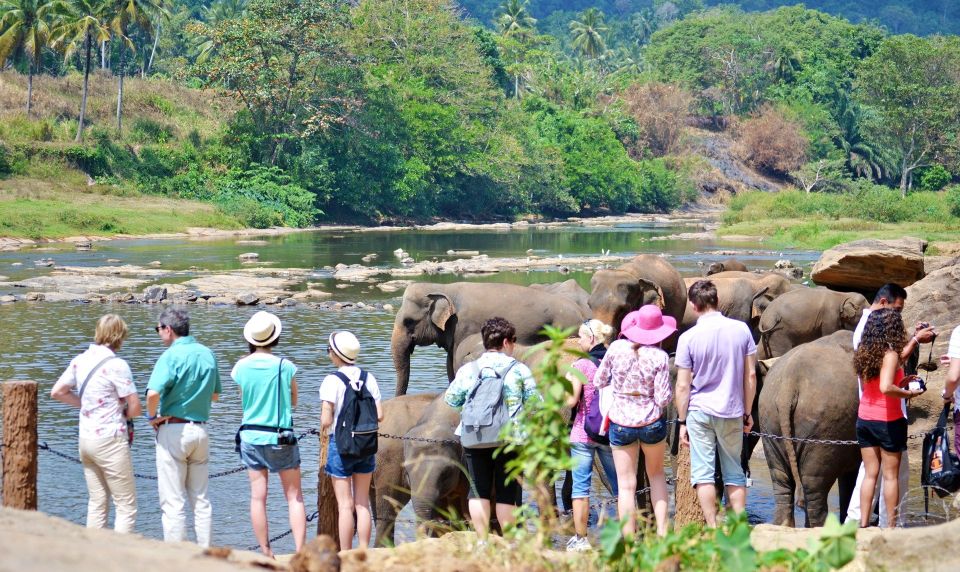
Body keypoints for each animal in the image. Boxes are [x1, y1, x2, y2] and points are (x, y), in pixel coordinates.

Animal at [390, 282, 584, 398]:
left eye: (408, 321)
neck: (443, 288)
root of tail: (581, 313)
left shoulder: (464, 326)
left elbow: (454, 363)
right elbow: (449, 364)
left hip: (564, 327)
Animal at [760, 330, 860, 528]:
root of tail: (788, 385)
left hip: (769, 420)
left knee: (781, 478)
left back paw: (784, 526)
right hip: (824, 428)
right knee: (813, 484)